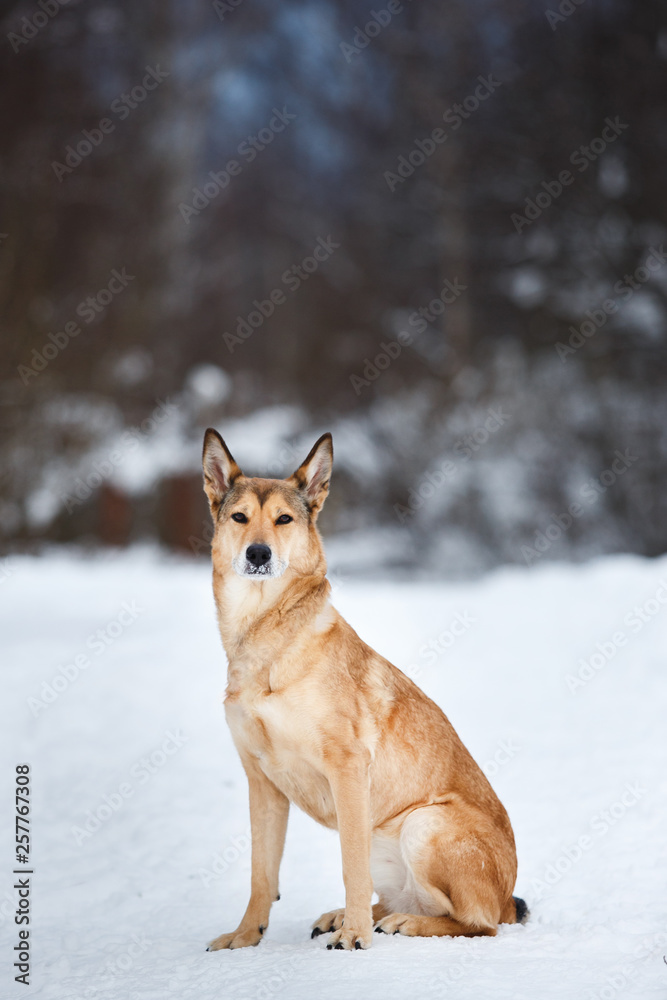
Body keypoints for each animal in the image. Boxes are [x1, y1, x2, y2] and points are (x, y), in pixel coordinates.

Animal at [202, 432, 528, 952]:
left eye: (284, 519)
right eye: (239, 518)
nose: (258, 554)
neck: (268, 639)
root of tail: (507, 897)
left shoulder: (348, 768)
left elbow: (349, 868)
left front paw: (354, 938)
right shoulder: (261, 781)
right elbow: (261, 874)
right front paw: (245, 937)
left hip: (423, 823)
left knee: (478, 923)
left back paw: (399, 924)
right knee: (410, 900)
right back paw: (351, 916)